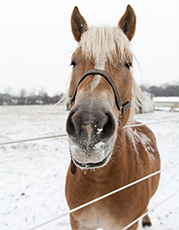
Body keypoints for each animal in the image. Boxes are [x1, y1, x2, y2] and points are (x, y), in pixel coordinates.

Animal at [65, 5, 160, 230]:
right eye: (73, 62)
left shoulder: (127, 224)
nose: (89, 125)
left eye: (128, 64)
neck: (98, 182)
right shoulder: (78, 222)